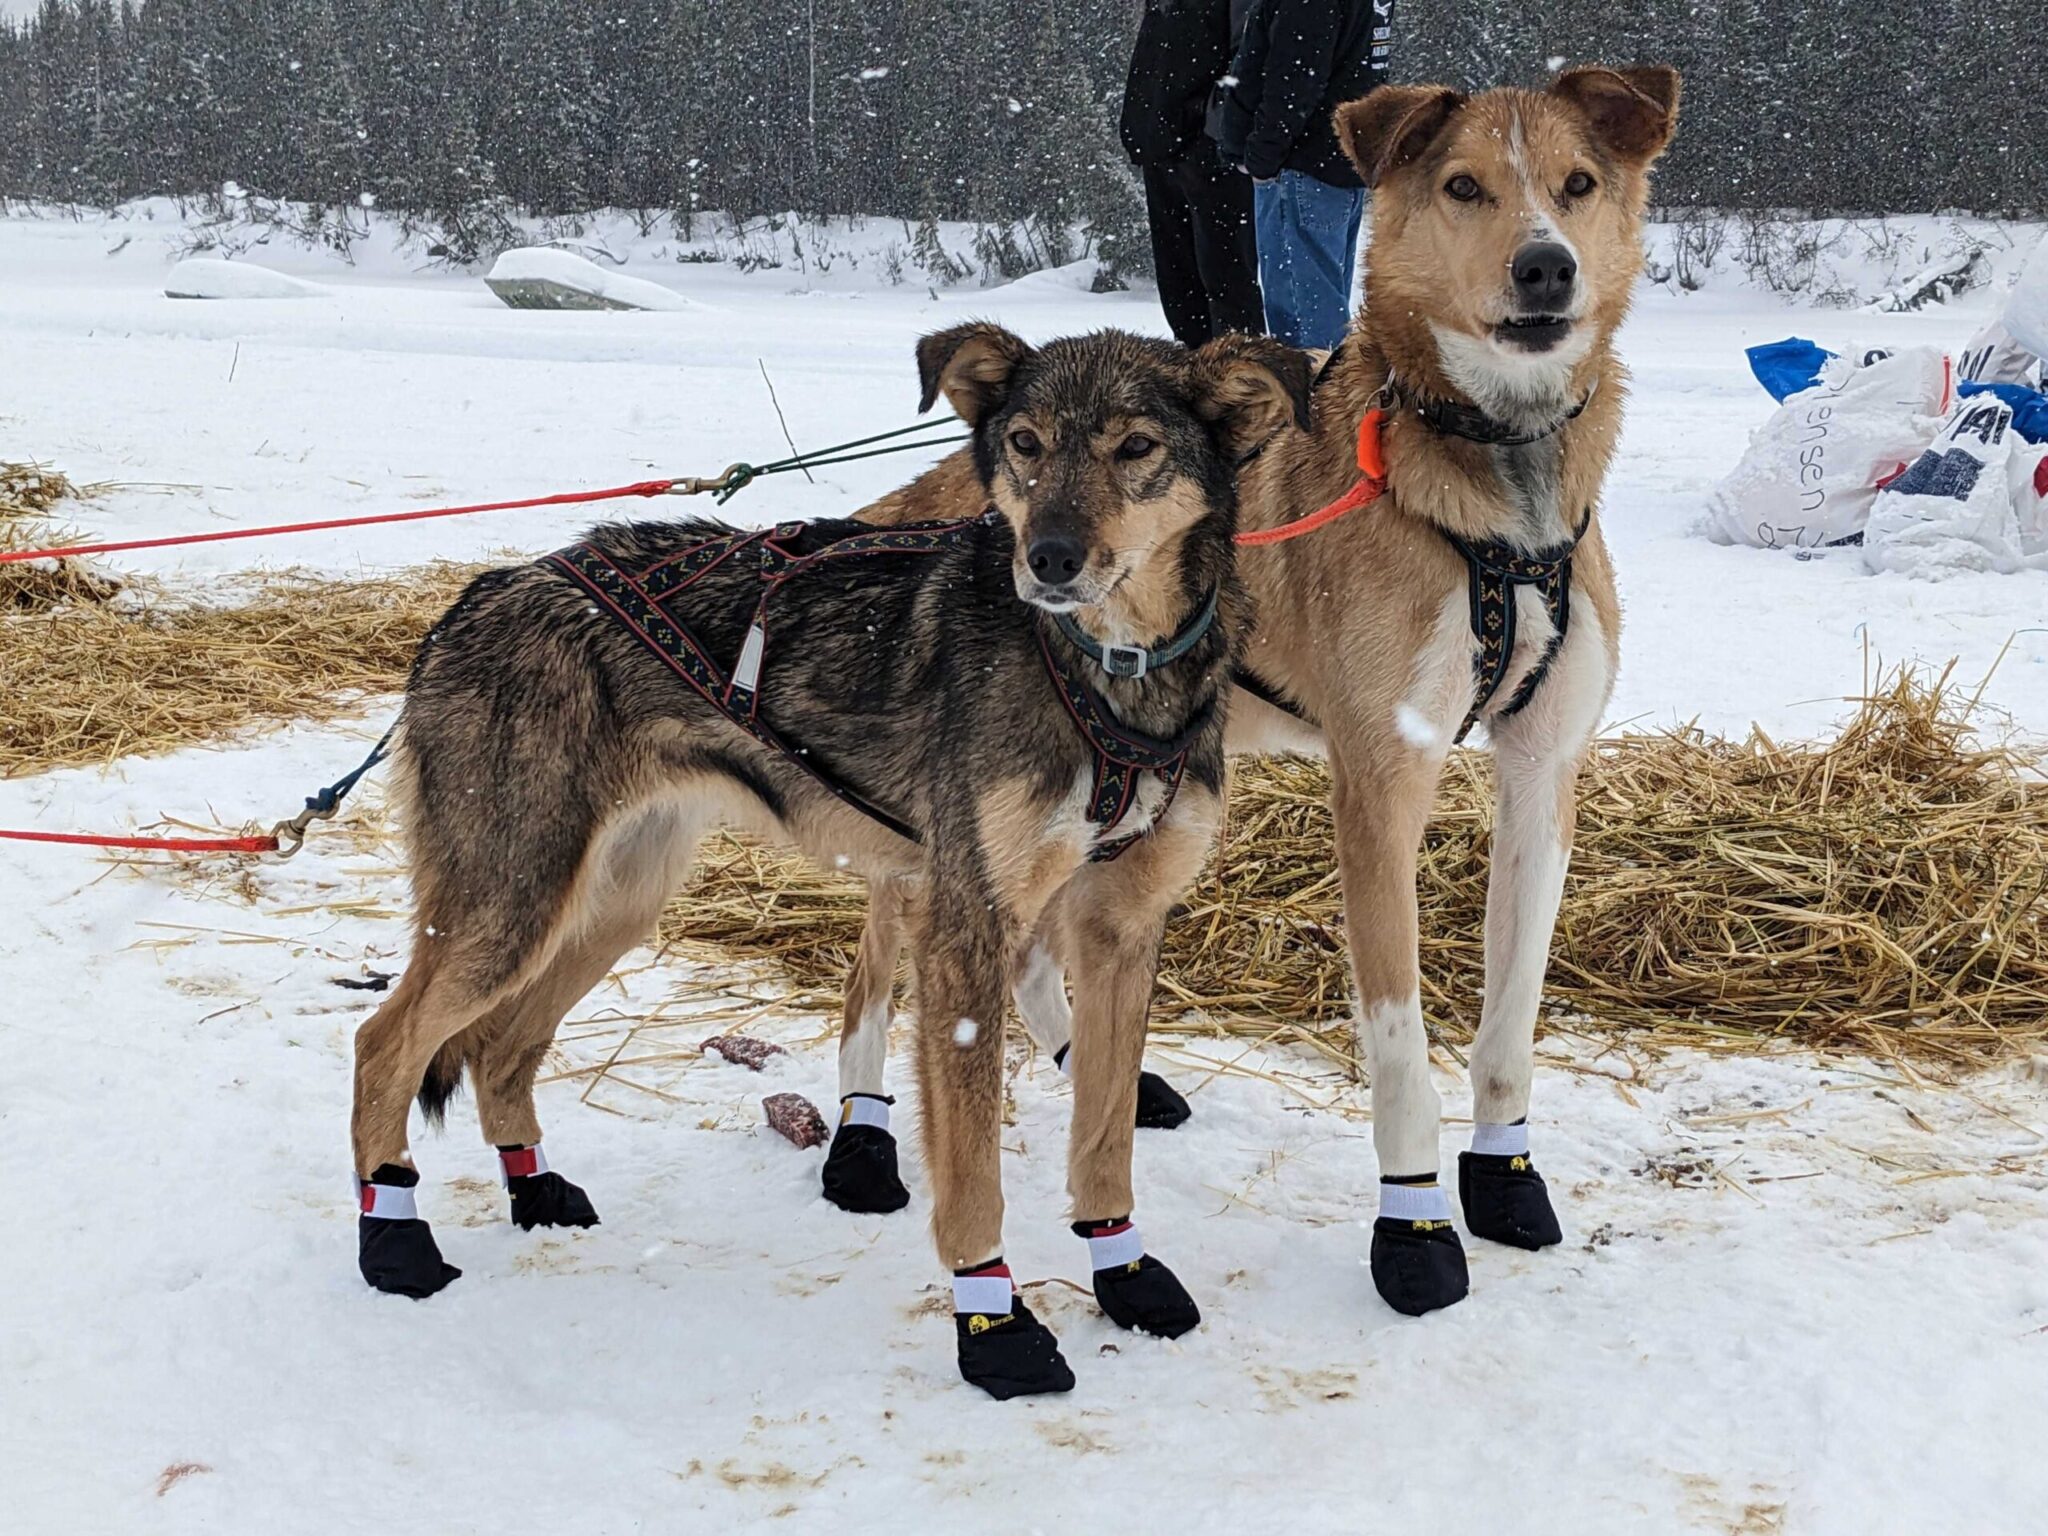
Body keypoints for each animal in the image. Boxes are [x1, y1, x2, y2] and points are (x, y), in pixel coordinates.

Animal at [348, 327, 1310, 1409]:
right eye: (1024, 442)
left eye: (1136, 446)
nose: (1049, 558)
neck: (1104, 673)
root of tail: (485, 590)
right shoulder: (967, 932)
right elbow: (972, 1176)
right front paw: (995, 1326)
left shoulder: (1118, 931)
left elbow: (1105, 1141)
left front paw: (1126, 1273)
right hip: (509, 907)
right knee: (383, 1046)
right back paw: (393, 1240)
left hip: (611, 908)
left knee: (504, 1050)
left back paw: (535, 1187)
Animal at [847, 69, 1679, 1327]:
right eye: (1461, 186)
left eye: (1576, 184)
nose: (1545, 266)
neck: (1499, 499)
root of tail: (946, 485)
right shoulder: (1379, 782)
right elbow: (1398, 1044)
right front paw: (1412, 1228)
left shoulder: (1542, 773)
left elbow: (1506, 1022)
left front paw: (1503, 1176)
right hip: (940, 836)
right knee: (870, 974)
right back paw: (857, 1140)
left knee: (1034, 953)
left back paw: (1092, 1065)